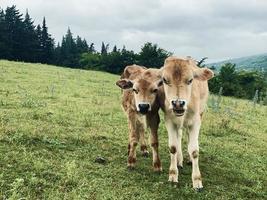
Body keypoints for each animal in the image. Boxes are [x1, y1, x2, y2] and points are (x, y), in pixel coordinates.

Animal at [159, 56, 216, 191]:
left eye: (190, 80)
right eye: (165, 80)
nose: (178, 103)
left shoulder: (195, 122)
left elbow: (194, 150)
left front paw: (197, 180)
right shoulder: (169, 120)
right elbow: (173, 147)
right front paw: (173, 174)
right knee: (179, 137)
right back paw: (179, 160)